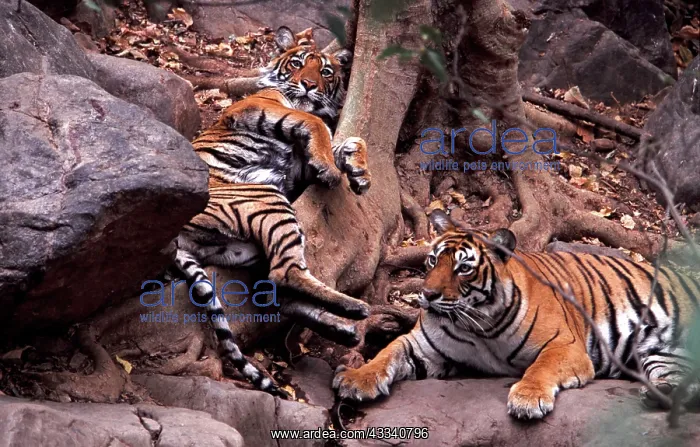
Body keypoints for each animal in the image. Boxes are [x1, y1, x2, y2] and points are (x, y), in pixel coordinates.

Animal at [173, 26, 371, 397]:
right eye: (296, 63)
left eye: (325, 72)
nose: (308, 85)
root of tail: (174, 238)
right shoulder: (262, 108)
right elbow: (317, 125)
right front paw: (334, 169)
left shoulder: (299, 168)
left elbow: (350, 141)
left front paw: (359, 172)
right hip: (267, 198)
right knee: (284, 274)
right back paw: (355, 308)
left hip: (244, 250)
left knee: (273, 294)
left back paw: (344, 328)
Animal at [333, 209, 700, 419]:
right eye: (432, 260)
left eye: (463, 268)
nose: (427, 295)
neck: (478, 324)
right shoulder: (423, 348)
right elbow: (387, 352)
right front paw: (356, 378)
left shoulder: (566, 346)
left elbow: (541, 366)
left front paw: (528, 398)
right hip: (660, 355)